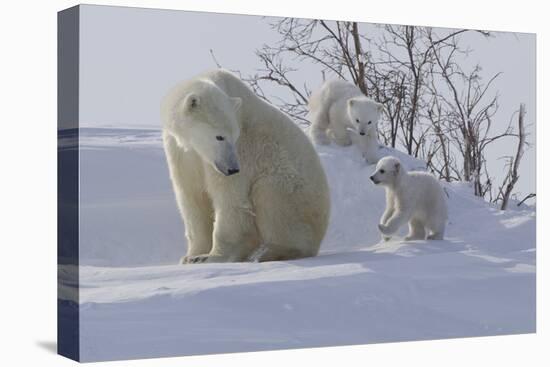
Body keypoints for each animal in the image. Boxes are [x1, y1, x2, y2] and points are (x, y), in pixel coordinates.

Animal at [162, 69, 330, 264]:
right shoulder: (182, 153)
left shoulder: (244, 150)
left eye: (234, 136)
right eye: (219, 136)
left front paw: (212, 257)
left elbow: (231, 199)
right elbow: (191, 196)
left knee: (270, 195)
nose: (233, 169)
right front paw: (191, 256)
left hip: (298, 195)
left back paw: (269, 253)